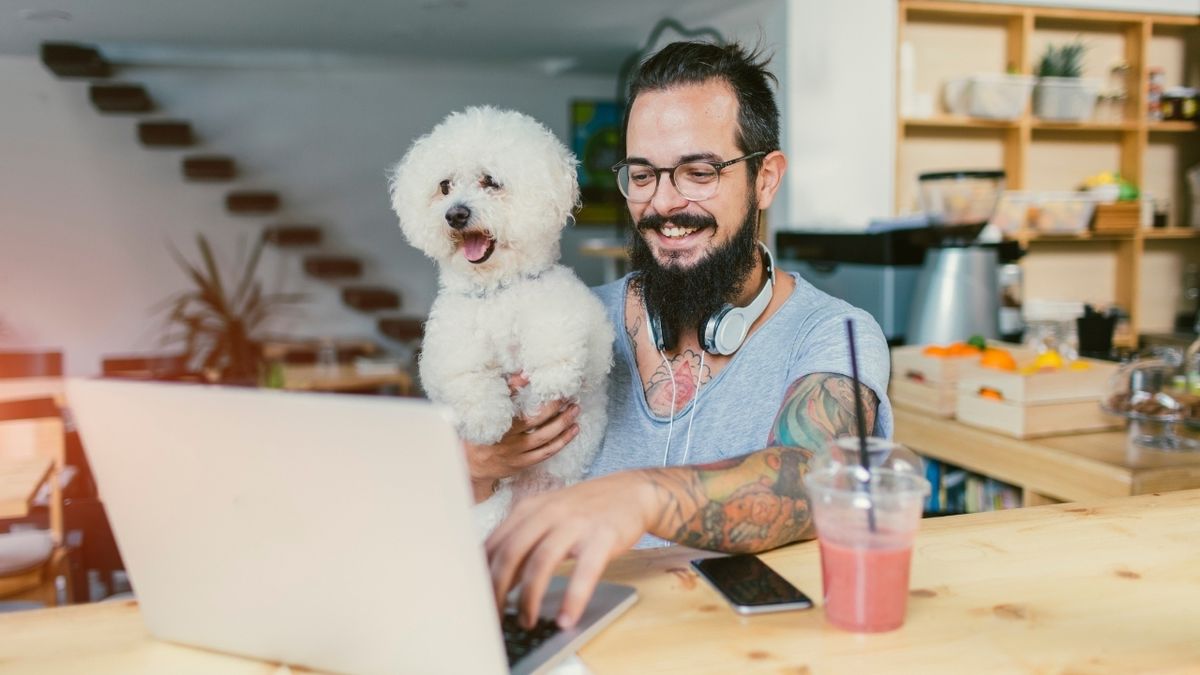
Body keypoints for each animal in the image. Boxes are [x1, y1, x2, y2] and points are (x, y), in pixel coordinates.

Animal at [388, 106, 614, 535]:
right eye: (444, 186)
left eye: (490, 182)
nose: (455, 214)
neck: (496, 290)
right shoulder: (448, 350)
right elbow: (467, 377)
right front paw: (487, 419)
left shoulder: (591, 341)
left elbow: (556, 334)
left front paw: (552, 376)